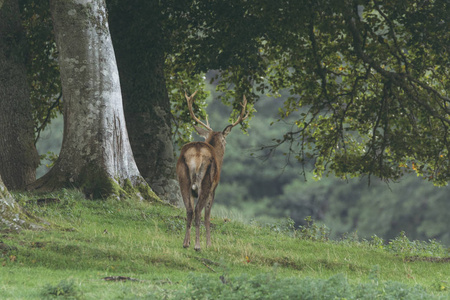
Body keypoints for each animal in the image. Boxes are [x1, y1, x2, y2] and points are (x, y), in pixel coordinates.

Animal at [177, 91, 250, 251]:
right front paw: (209, 243)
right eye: (225, 141)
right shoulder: (214, 188)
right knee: (198, 211)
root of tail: (197, 152)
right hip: (206, 180)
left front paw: (189, 241)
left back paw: (185, 244)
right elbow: (208, 216)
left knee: (189, 210)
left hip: (183, 178)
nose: (225, 145)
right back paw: (198, 246)